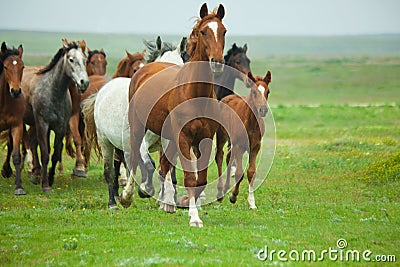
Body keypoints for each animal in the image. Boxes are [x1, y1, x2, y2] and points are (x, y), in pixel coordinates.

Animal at [22, 38, 89, 192]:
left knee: (32, 143)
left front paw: (51, 178)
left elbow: (55, 154)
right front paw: (45, 186)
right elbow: (45, 154)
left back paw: (36, 174)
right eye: (71, 59)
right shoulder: (43, 125)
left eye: (85, 59)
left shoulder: (60, 127)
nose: (84, 83)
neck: (53, 92)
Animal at [82, 38, 188, 209]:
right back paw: (114, 202)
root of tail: (103, 90)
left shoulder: (168, 142)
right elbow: (149, 164)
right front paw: (142, 191)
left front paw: (166, 201)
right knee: (110, 170)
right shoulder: (141, 140)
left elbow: (166, 171)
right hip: (106, 141)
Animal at [122, 3, 227, 227]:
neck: (195, 93)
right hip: (138, 128)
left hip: (167, 137)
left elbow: (200, 180)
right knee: (134, 157)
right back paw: (127, 196)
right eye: (203, 32)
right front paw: (194, 218)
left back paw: (166, 204)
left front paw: (188, 206)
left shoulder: (204, 140)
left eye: (223, 31)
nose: (217, 62)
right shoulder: (183, 138)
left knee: (164, 165)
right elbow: (190, 178)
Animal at [216, 70, 272, 210]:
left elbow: (251, 172)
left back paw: (226, 187)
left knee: (228, 156)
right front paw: (233, 196)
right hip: (222, 134)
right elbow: (239, 173)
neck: (250, 122)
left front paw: (252, 202)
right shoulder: (239, 146)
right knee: (219, 156)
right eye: (254, 92)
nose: (263, 110)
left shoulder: (255, 147)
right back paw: (220, 193)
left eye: (268, 92)